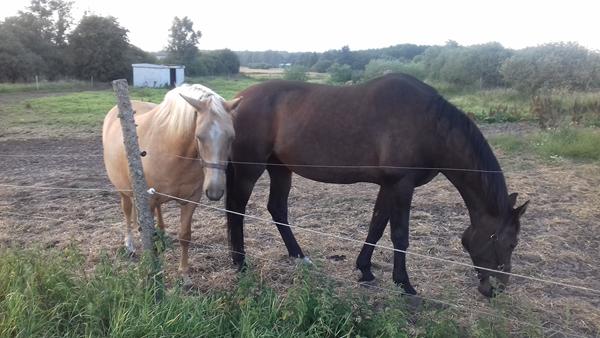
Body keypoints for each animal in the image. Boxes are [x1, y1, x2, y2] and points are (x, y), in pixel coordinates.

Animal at [103, 84, 241, 280]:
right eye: (199, 136)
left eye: (231, 137)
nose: (214, 191)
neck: (173, 151)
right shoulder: (149, 199)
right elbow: (147, 233)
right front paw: (152, 268)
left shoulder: (190, 200)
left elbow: (185, 235)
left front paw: (183, 273)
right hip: (123, 190)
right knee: (128, 212)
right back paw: (129, 244)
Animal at [226, 74, 528, 298]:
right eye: (511, 242)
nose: (496, 290)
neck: (429, 125)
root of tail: (238, 100)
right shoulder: (402, 184)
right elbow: (399, 235)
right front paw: (404, 283)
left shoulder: (389, 185)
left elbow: (377, 226)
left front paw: (365, 270)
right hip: (249, 169)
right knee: (236, 209)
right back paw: (240, 262)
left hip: (280, 168)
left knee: (277, 208)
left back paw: (299, 257)